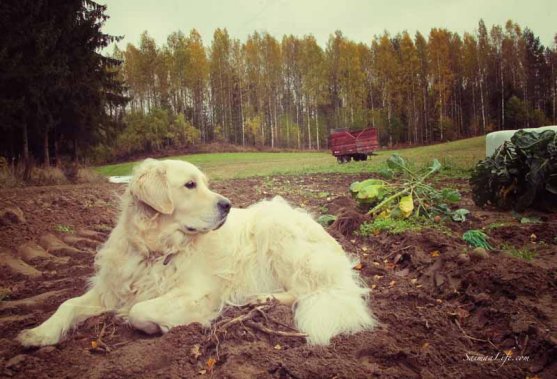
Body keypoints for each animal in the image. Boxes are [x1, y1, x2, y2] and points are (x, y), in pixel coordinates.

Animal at [17, 160, 376, 348]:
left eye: (205, 183)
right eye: (190, 185)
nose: (227, 205)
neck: (156, 250)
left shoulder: (198, 293)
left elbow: (140, 310)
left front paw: (155, 327)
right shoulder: (110, 289)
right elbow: (67, 304)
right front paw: (39, 333)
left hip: (277, 230)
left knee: (305, 291)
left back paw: (264, 300)